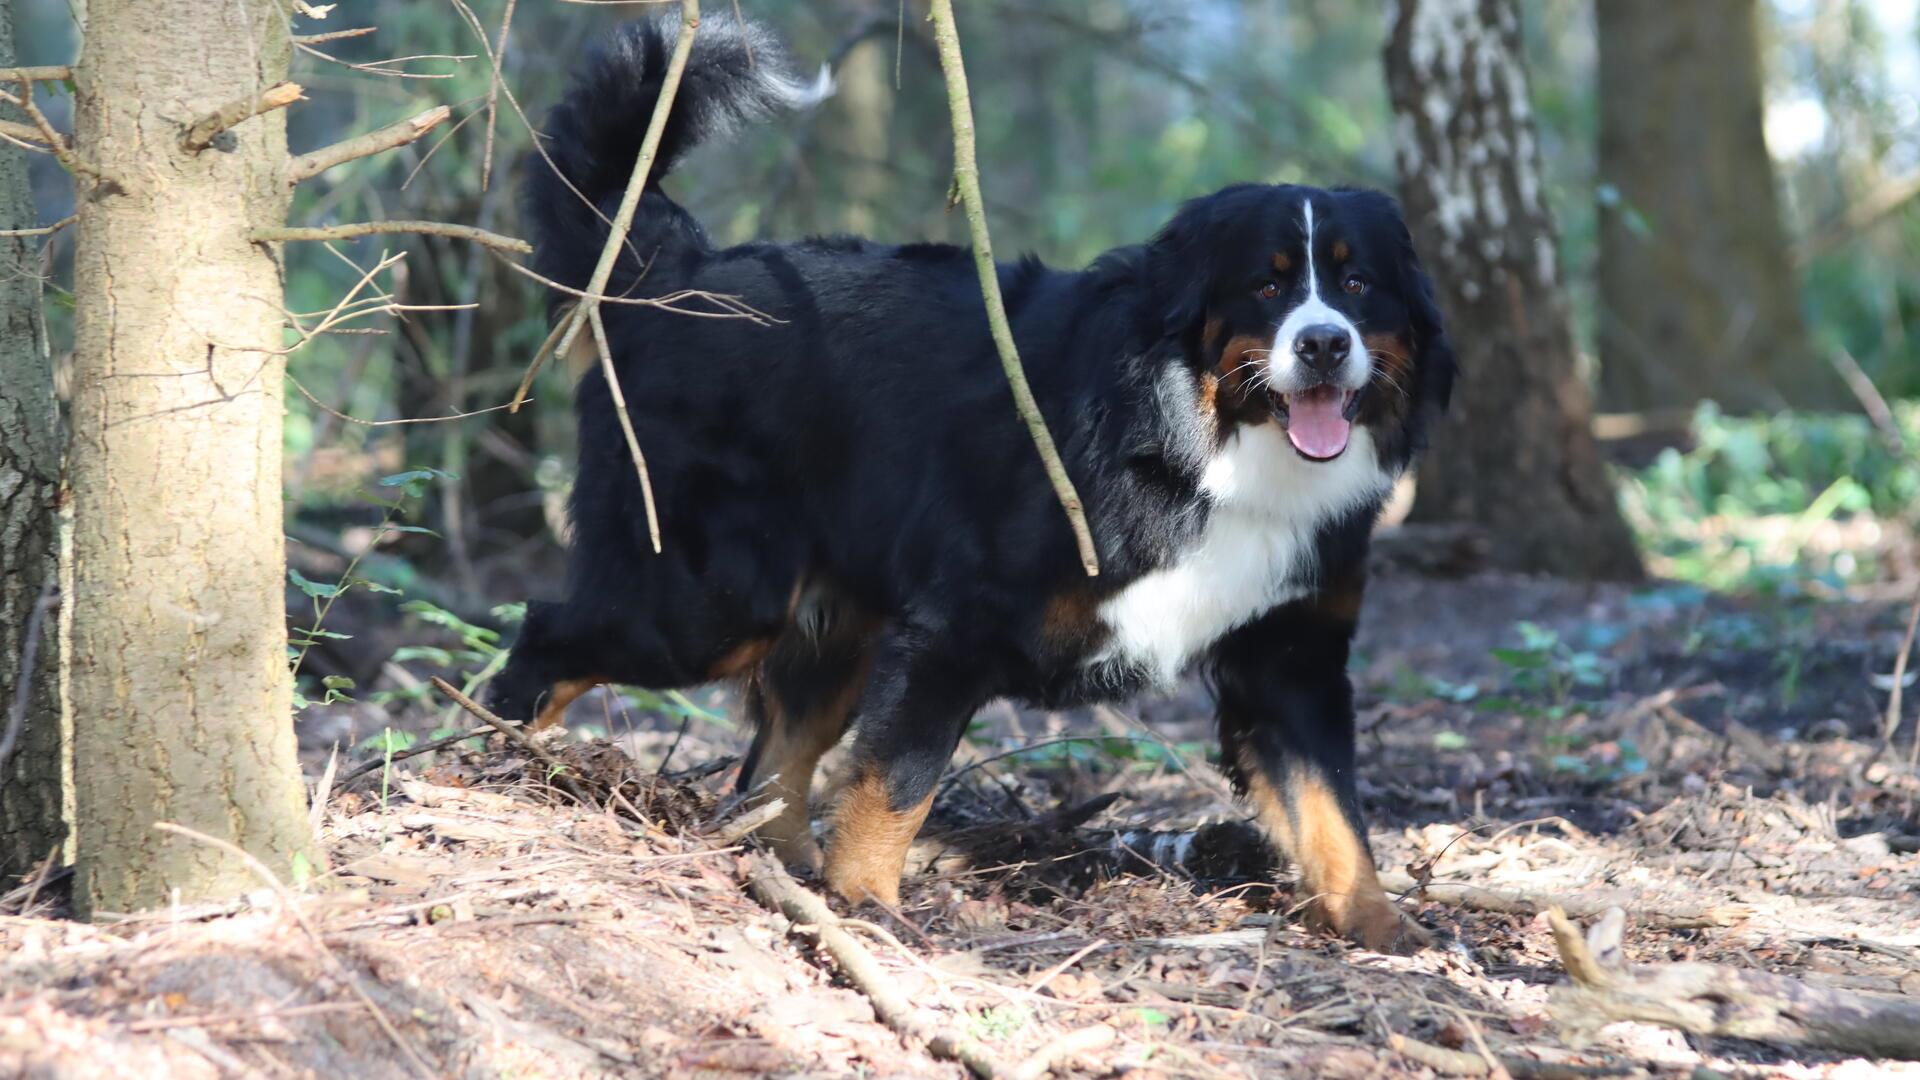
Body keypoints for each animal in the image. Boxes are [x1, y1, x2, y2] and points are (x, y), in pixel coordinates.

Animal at [491, 12, 1451, 945]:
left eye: (1358, 283)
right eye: (1267, 286)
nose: (1323, 344)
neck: (1209, 446)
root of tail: (675, 272)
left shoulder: (1289, 654)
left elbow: (1333, 815)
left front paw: (1391, 932)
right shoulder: (957, 624)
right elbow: (899, 779)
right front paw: (869, 904)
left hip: (830, 625)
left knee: (772, 768)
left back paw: (779, 867)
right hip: (709, 602)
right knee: (546, 638)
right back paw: (501, 767)